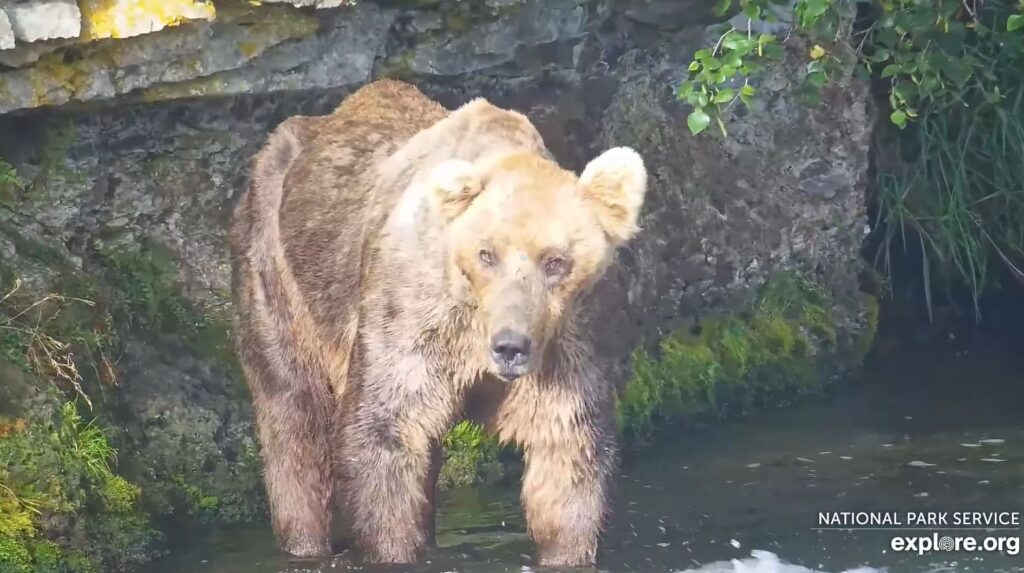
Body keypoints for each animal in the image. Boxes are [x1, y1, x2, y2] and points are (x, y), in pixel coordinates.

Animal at [231, 78, 647, 564]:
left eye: (555, 261)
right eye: (487, 253)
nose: (509, 346)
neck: (473, 324)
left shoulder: (568, 343)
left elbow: (566, 452)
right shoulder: (410, 317)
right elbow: (383, 435)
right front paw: (391, 548)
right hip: (278, 268)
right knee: (294, 416)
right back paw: (305, 541)